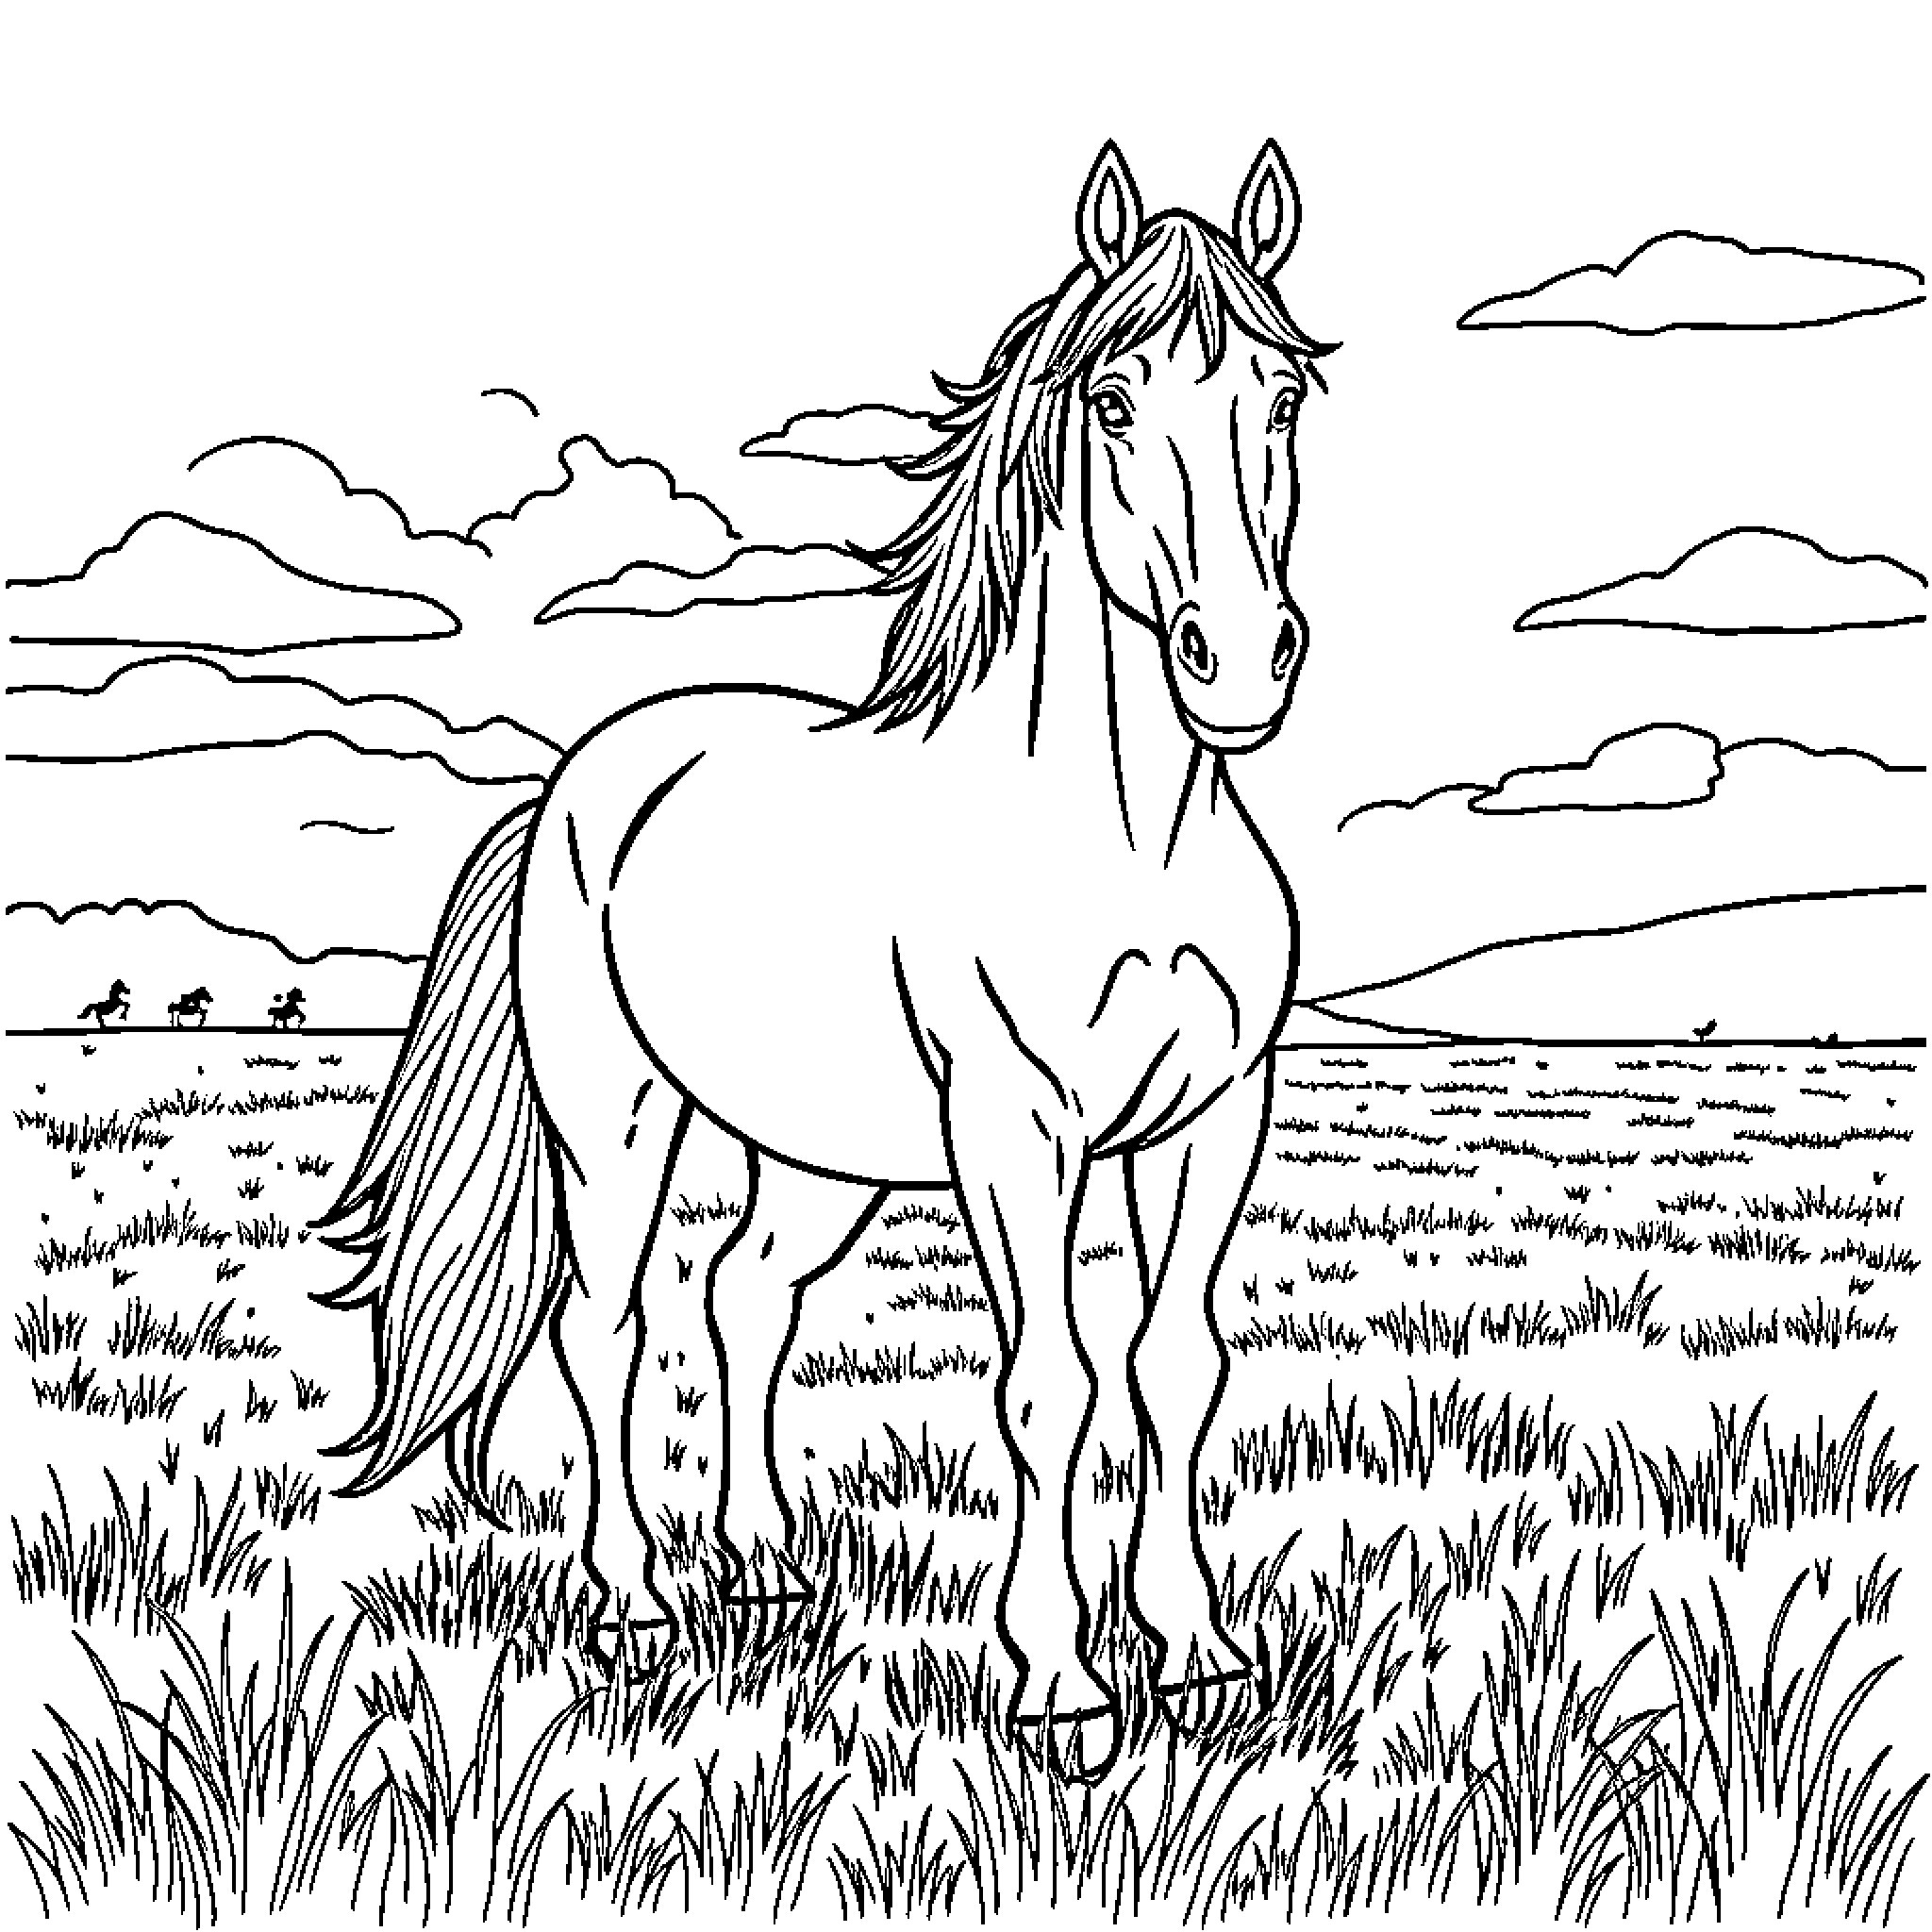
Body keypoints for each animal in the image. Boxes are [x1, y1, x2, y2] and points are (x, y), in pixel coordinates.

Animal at [318, 141, 1329, 1782]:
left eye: (1282, 396)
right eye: (1115, 399)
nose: (1234, 661)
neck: (1128, 832)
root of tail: (575, 777)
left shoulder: (1213, 1115)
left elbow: (1177, 1366)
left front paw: (1200, 1660)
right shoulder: (1016, 1128)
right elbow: (1048, 1386)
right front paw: (1061, 1689)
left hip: (816, 1154)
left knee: (742, 1296)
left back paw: (766, 1566)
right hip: (616, 1126)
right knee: (608, 1326)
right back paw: (632, 1603)